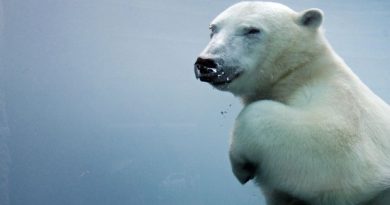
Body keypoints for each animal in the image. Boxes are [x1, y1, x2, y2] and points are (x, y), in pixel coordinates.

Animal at [194, 1, 390, 205]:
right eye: (213, 29)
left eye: (252, 30)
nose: (207, 63)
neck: (300, 73)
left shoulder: (343, 101)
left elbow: (334, 146)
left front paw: (241, 166)